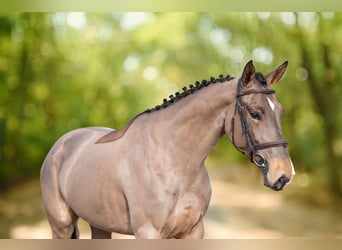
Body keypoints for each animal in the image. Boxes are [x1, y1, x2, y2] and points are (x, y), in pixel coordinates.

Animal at [40, 60, 296, 238]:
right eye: (255, 113)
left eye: (281, 111)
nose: (284, 174)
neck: (174, 163)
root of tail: (60, 144)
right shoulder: (148, 233)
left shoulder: (193, 231)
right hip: (61, 225)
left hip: (99, 224)